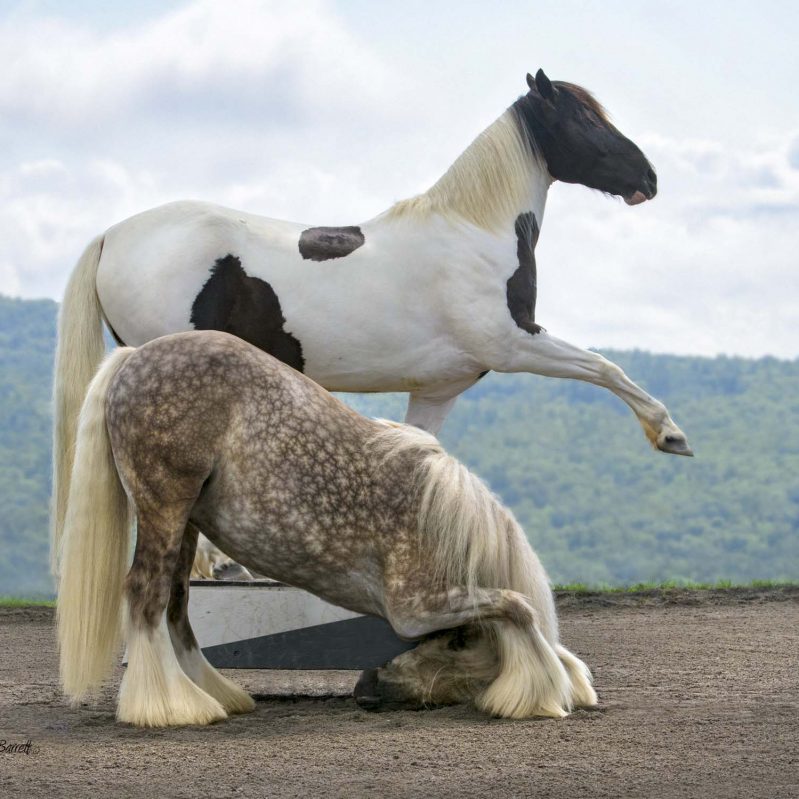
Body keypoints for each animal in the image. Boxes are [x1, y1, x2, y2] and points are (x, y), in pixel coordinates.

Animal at [51, 70, 692, 576]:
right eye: (583, 118)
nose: (650, 177)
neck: (473, 232)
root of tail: (112, 236)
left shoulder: (437, 389)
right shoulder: (514, 344)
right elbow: (606, 368)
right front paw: (669, 434)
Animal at [57, 332, 592, 724]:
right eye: (457, 642)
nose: (367, 686)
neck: (440, 519)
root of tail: (135, 356)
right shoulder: (415, 609)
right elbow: (519, 606)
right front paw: (540, 692)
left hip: (186, 520)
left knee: (175, 603)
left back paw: (215, 694)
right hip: (165, 504)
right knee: (146, 594)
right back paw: (171, 707)